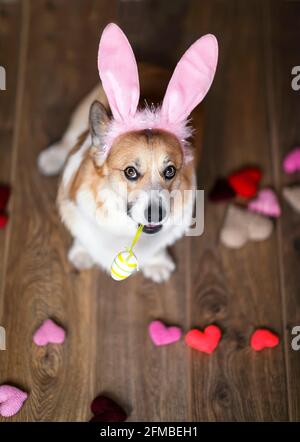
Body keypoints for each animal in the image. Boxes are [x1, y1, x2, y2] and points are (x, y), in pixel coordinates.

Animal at [37, 23, 218, 284]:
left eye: (170, 171)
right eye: (130, 172)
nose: (156, 213)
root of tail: (158, 67)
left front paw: (157, 263)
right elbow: (82, 233)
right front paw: (82, 252)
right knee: (69, 137)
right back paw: (51, 158)